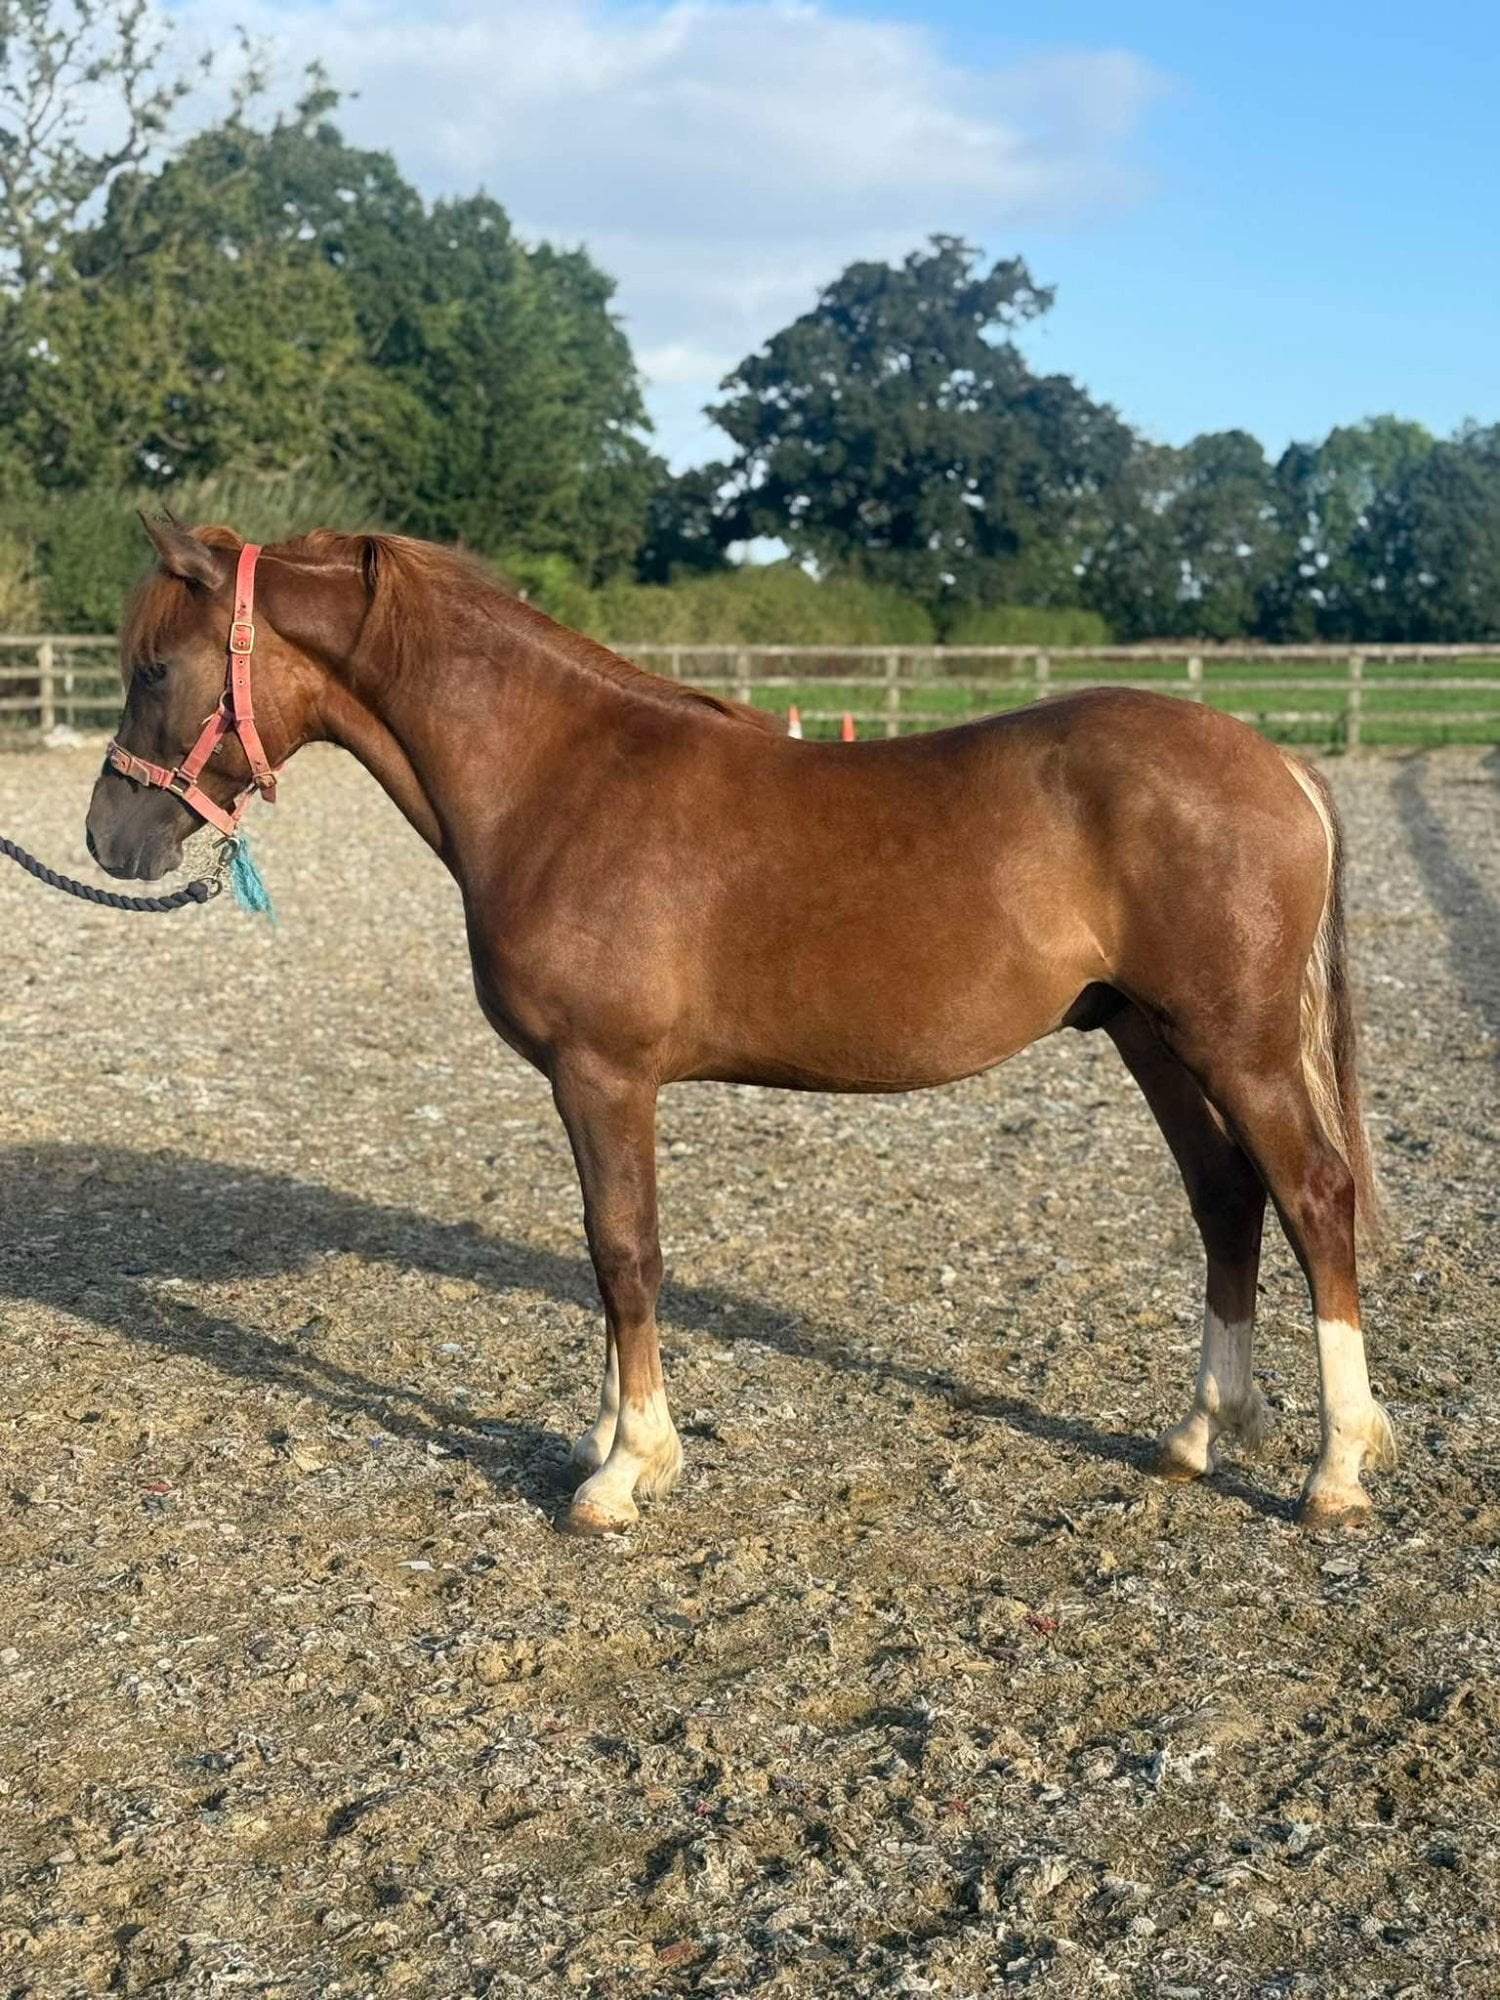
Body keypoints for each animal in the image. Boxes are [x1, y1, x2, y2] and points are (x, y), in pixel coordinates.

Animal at [85, 517, 1396, 1536]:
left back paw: (1337, 1466)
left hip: (1236, 1042)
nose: (109, 839)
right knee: (1227, 1198)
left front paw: (626, 1471)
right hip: (1151, 1036)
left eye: (154, 669)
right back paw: (1202, 1430)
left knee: (1314, 1197)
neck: (557, 777)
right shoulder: (590, 1085)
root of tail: (1278, 763)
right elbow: (602, 1257)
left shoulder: (604, 1075)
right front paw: (607, 1437)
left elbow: (625, 1252)